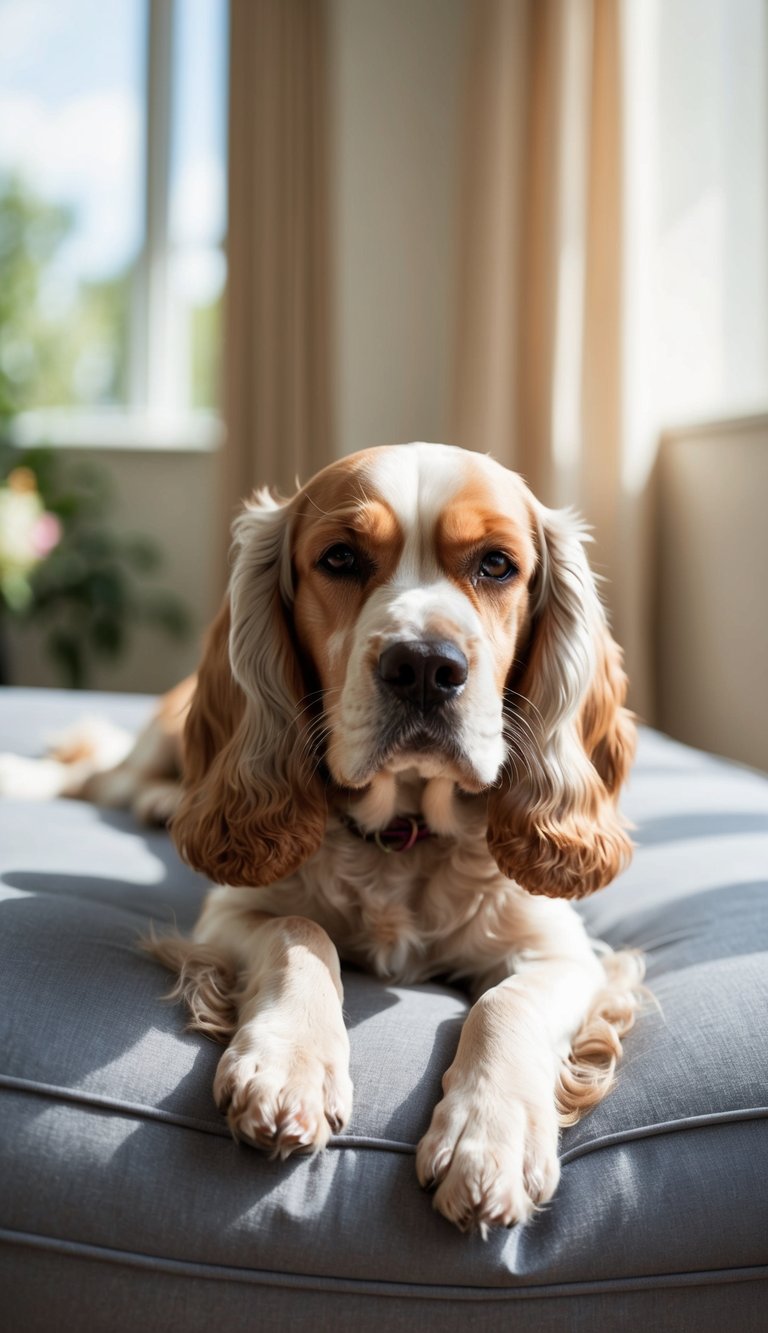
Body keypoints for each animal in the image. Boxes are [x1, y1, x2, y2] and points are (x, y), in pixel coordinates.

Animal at [2, 442, 644, 1234]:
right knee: (95, 772)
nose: (424, 666)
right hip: (153, 745)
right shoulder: (231, 913)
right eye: (340, 557)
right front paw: (288, 1068)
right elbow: (301, 933)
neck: (405, 830)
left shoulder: (565, 952)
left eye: (497, 564)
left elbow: (507, 1002)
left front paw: (491, 1137)